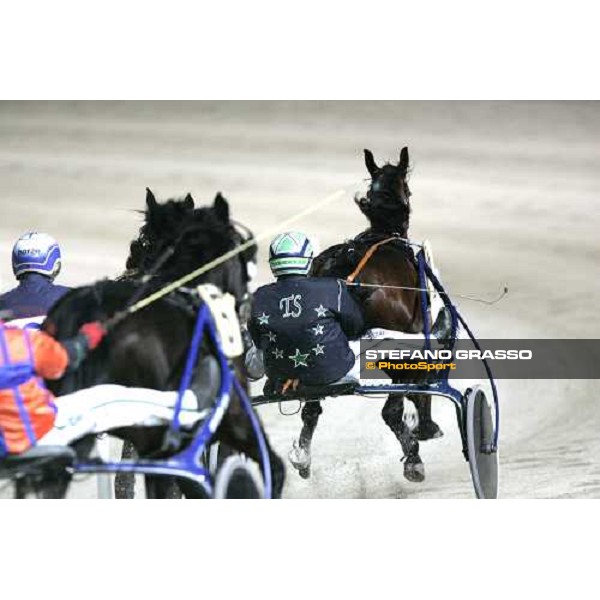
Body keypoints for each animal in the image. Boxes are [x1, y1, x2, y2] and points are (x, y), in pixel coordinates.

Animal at [302, 148, 442, 486]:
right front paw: (424, 427)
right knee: (390, 411)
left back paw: (302, 457)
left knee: (310, 409)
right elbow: (419, 387)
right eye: (409, 189)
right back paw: (414, 459)